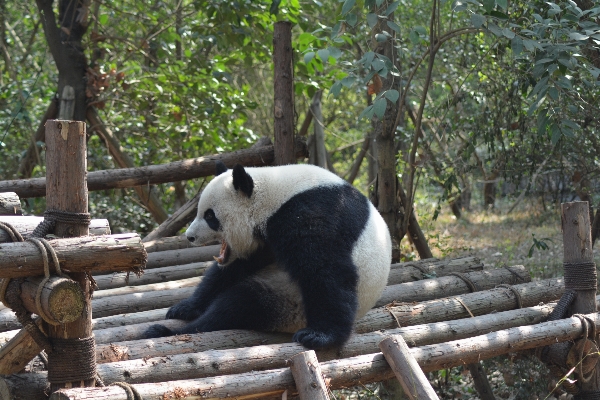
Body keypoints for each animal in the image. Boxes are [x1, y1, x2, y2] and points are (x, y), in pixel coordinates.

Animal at [144, 161, 392, 348]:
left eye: (210, 216)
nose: (190, 237)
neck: (273, 194)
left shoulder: (310, 213)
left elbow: (325, 269)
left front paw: (320, 336)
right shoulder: (264, 241)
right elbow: (234, 268)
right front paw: (185, 307)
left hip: (288, 302)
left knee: (238, 305)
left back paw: (163, 332)